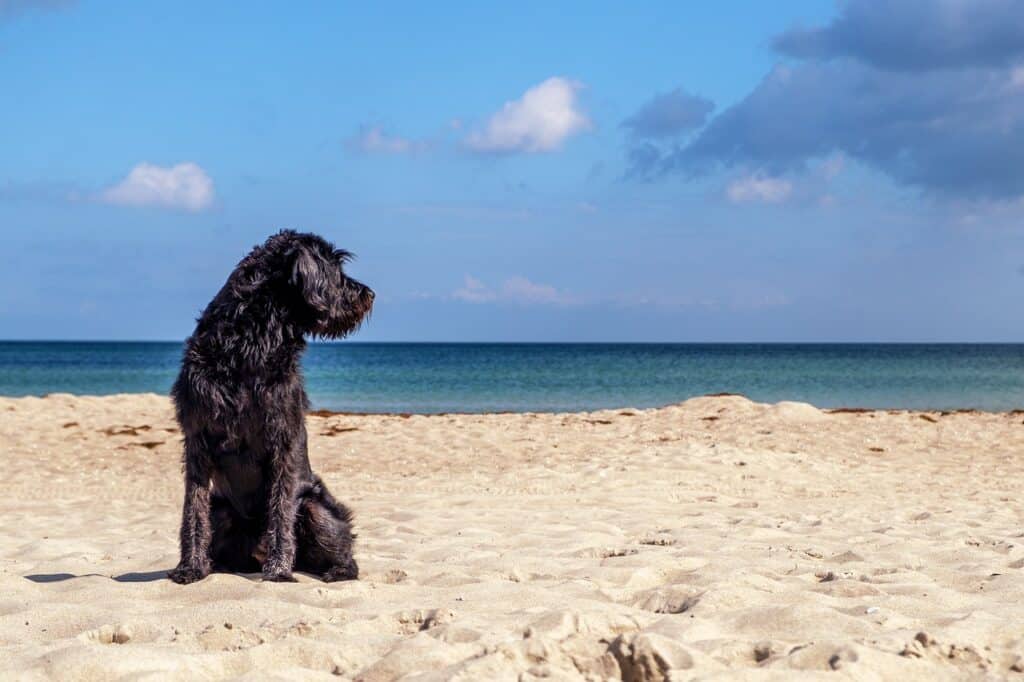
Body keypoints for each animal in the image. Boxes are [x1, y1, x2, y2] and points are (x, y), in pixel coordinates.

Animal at [165, 231, 374, 581]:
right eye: (334, 268)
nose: (368, 294)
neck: (250, 342)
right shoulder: (197, 441)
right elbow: (192, 511)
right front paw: (190, 567)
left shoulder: (282, 439)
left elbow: (281, 508)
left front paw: (278, 570)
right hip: (222, 508)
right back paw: (217, 564)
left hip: (316, 507)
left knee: (347, 555)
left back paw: (334, 570)